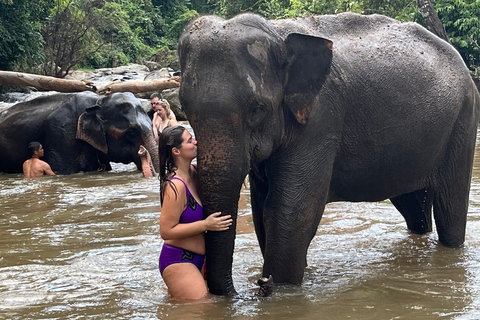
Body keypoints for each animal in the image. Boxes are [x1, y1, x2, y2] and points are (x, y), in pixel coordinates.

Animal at [177, 13, 480, 298]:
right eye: (184, 105)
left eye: (256, 109)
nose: (259, 285)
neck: (278, 33)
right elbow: (262, 210)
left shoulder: (321, 118)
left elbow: (290, 211)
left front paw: (281, 292)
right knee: (413, 206)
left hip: (463, 118)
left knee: (450, 204)